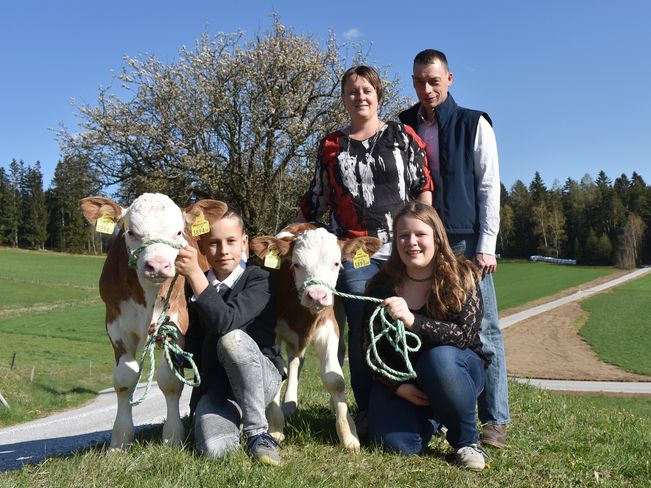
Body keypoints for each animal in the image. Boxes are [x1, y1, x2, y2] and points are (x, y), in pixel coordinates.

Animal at [81, 193, 214, 448]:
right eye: (131, 232)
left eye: (179, 232)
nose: (158, 266)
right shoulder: (116, 323)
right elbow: (124, 378)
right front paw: (120, 440)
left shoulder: (177, 322)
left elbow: (170, 380)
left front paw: (172, 436)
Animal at [250, 225, 382, 454]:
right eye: (296, 264)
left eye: (336, 263)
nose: (317, 295)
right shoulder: (270, 331)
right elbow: (275, 370)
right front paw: (275, 427)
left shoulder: (329, 327)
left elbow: (335, 380)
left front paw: (348, 434)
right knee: (295, 361)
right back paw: (289, 404)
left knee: (337, 352)